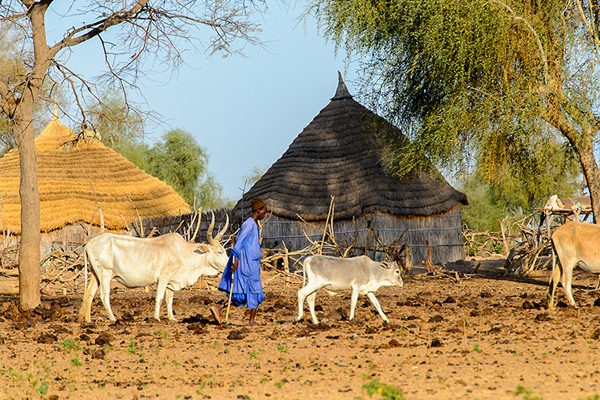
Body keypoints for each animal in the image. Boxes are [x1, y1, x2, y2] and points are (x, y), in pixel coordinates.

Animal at [78, 214, 229, 324]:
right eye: (219, 252)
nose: (229, 265)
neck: (183, 252)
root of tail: (89, 244)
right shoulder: (163, 278)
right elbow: (160, 297)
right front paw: (157, 317)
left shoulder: (171, 281)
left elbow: (169, 299)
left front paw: (172, 318)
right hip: (105, 275)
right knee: (104, 295)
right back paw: (113, 319)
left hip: (95, 275)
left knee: (89, 294)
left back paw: (88, 320)